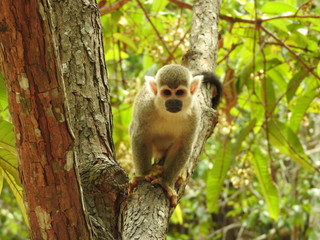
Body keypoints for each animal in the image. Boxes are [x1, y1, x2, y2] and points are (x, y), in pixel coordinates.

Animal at [129, 64, 221, 206]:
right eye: (167, 93)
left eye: (180, 93)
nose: (173, 101)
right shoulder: (145, 108)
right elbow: (140, 137)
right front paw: (142, 176)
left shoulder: (194, 114)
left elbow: (184, 145)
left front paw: (166, 184)